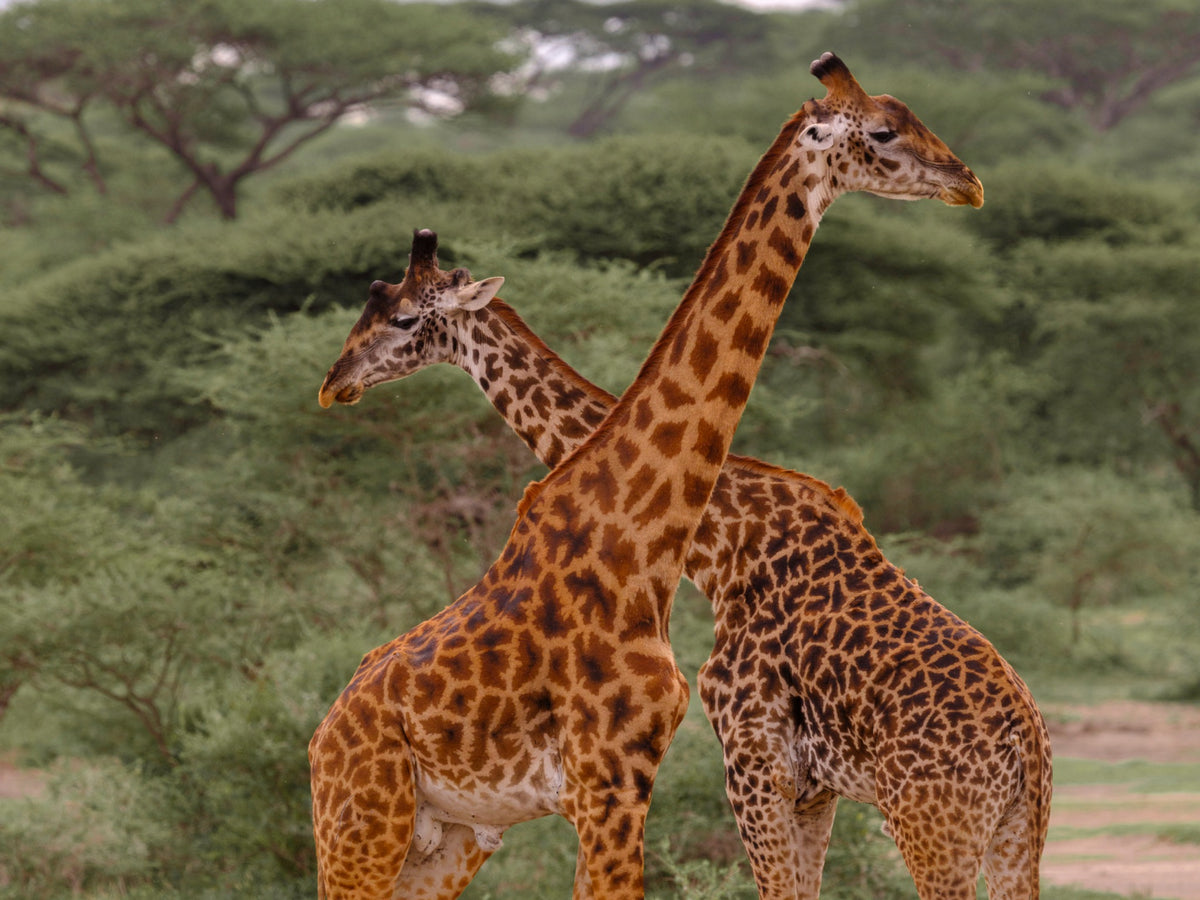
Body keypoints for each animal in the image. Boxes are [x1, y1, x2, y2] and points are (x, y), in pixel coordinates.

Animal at [312, 53, 995, 900]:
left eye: (404, 318)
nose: (967, 180)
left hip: (447, 839)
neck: (645, 539)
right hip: (366, 826)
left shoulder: (639, 776)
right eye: (882, 131)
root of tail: (320, 738)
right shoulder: (611, 776)